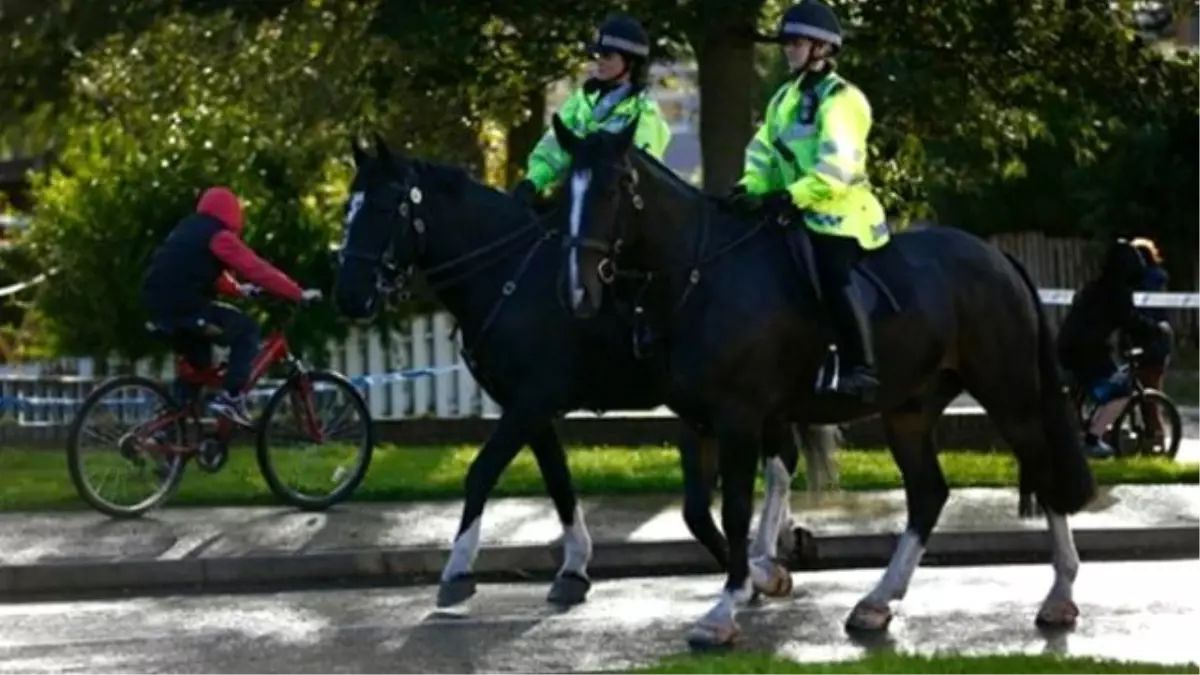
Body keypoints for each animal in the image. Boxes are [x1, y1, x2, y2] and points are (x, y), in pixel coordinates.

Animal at [328, 133, 835, 607]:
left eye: (385, 205)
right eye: (349, 207)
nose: (348, 294)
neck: (509, 274)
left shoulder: (531, 402)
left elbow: (482, 472)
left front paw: (458, 569)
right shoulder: (530, 409)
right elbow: (559, 482)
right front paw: (574, 566)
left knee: (775, 467)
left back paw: (766, 557)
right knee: (778, 463)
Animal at [552, 117, 1099, 648]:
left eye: (620, 185)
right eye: (563, 188)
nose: (580, 291)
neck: (700, 277)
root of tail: (997, 258)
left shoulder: (738, 418)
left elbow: (734, 511)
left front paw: (727, 607)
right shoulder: (699, 420)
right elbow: (697, 513)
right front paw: (763, 576)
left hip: (1009, 394)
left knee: (1043, 473)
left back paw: (1060, 595)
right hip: (910, 409)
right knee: (928, 495)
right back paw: (876, 602)